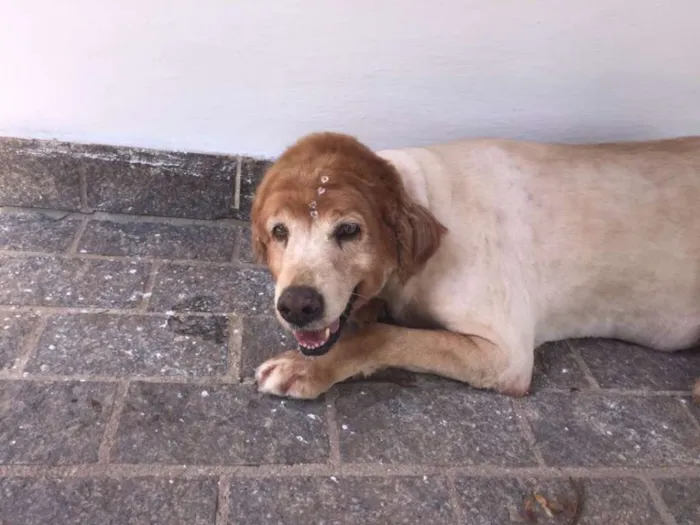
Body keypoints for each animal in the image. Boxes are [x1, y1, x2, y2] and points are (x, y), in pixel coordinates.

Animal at [249, 133, 696, 400]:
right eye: (279, 231)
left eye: (348, 230)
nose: (297, 305)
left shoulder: (506, 354)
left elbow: (383, 336)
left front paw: (308, 367)